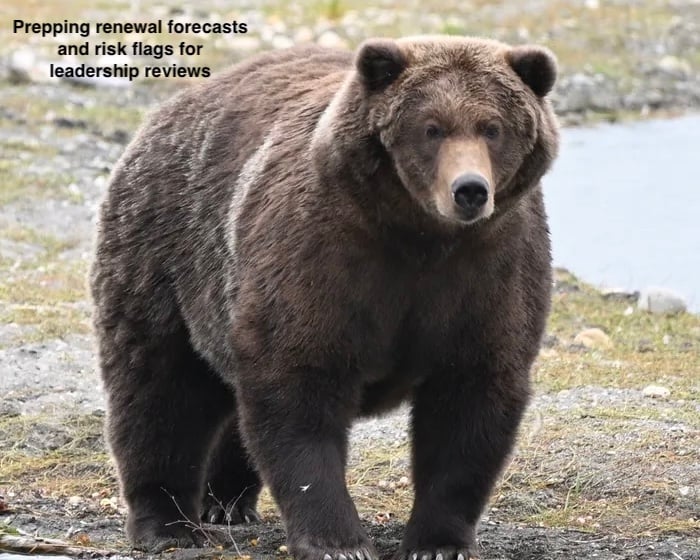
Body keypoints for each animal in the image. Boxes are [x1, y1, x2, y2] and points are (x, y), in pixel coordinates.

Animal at [90, 35, 559, 560]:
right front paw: (337, 540)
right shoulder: (322, 256)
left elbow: (470, 401)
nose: (470, 190)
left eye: (492, 127)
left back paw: (227, 501)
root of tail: (166, 111)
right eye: (431, 127)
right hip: (166, 257)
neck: (419, 237)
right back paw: (168, 523)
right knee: (159, 388)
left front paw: (438, 542)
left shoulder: (489, 271)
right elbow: (299, 387)